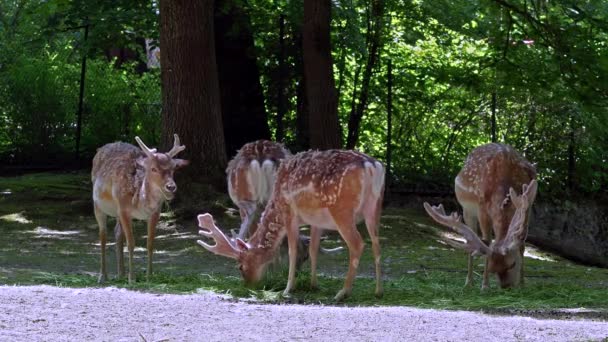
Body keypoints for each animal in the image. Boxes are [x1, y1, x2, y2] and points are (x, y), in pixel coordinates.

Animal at [91, 134, 188, 284]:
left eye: (173, 168)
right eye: (153, 169)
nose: (171, 187)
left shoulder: (155, 212)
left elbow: (150, 243)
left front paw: (149, 275)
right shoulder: (124, 209)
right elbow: (131, 243)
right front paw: (132, 278)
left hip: (117, 211)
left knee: (117, 232)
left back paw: (121, 274)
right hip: (98, 205)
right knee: (103, 235)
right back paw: (103, 276)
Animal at [196, 150, 384, 300]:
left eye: (240, 266)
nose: (249, 285)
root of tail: (371, 166)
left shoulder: (289, 213)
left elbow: (292, 250)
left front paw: (288, 289)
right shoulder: (316, 221)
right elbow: (313, 249)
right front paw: (313, 284)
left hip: (341, 209)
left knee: (357, 243)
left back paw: (343, 292)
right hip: (375, 207)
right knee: (376, 243)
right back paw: (377, 291)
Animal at [422, 143, 536, 290]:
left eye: (513, 264)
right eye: (493, 270)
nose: (506, 287)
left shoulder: (528, 204)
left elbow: (522, 244)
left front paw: (523, 284)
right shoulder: (482, 209)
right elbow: (487, 240)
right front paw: (485, 286)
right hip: (467, 210)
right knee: (470, 240)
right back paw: (469, 282)